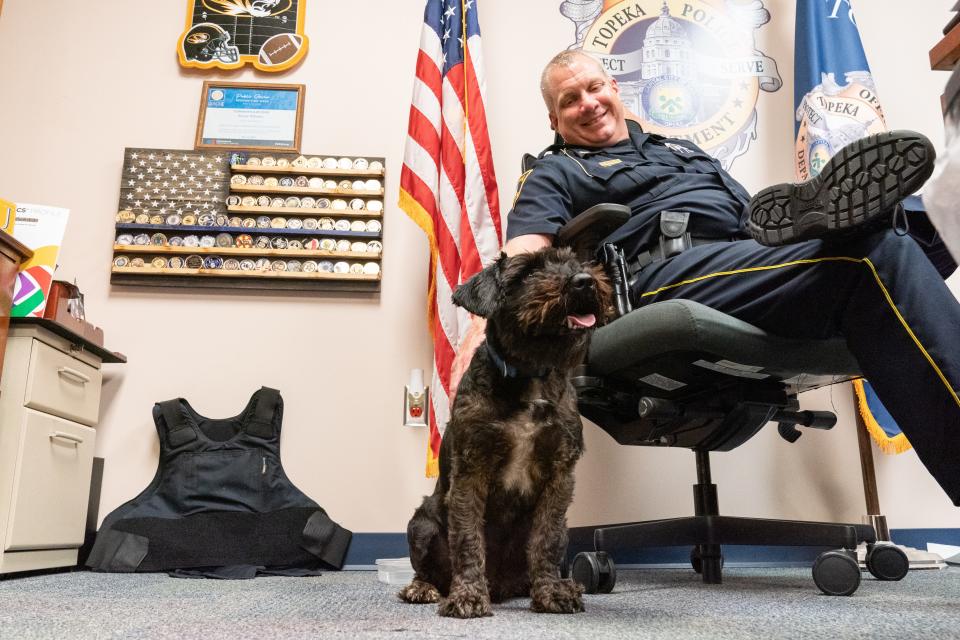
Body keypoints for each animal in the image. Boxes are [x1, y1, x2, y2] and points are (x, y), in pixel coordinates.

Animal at [396, 248, 608, 616]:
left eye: (575, 263)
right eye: (527, 273)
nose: (585, 282)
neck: (529, 373)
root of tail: (502, 586)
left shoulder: (559, 475)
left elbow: (546, 540)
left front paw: (551, 592)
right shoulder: (472, 471)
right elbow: (468, 539)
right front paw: (467, 596)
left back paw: (567, 583)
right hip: (420, 524)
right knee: (428, 569)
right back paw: (422, 588)